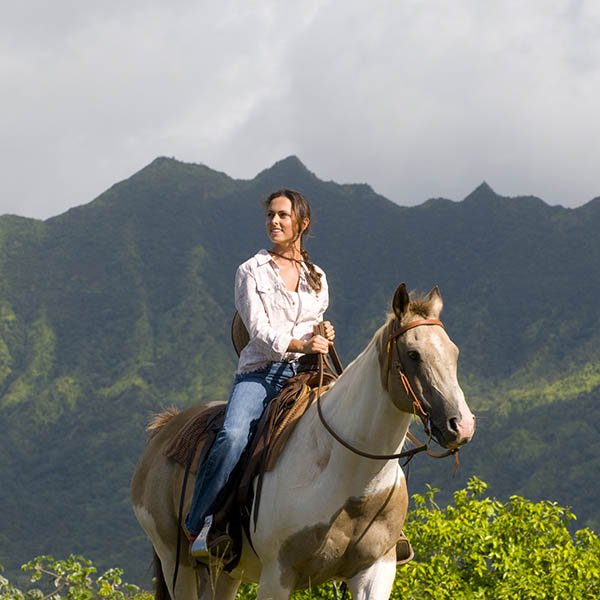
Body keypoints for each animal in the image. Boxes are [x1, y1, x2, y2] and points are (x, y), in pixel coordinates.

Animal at [130, 284, 474, 600]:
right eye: (414, 354)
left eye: (455, 353)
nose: (461, 425)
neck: (348, 475)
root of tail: (165, 428)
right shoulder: (277, 574)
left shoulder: (376, 570)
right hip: (177, 562)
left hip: (225, 573)